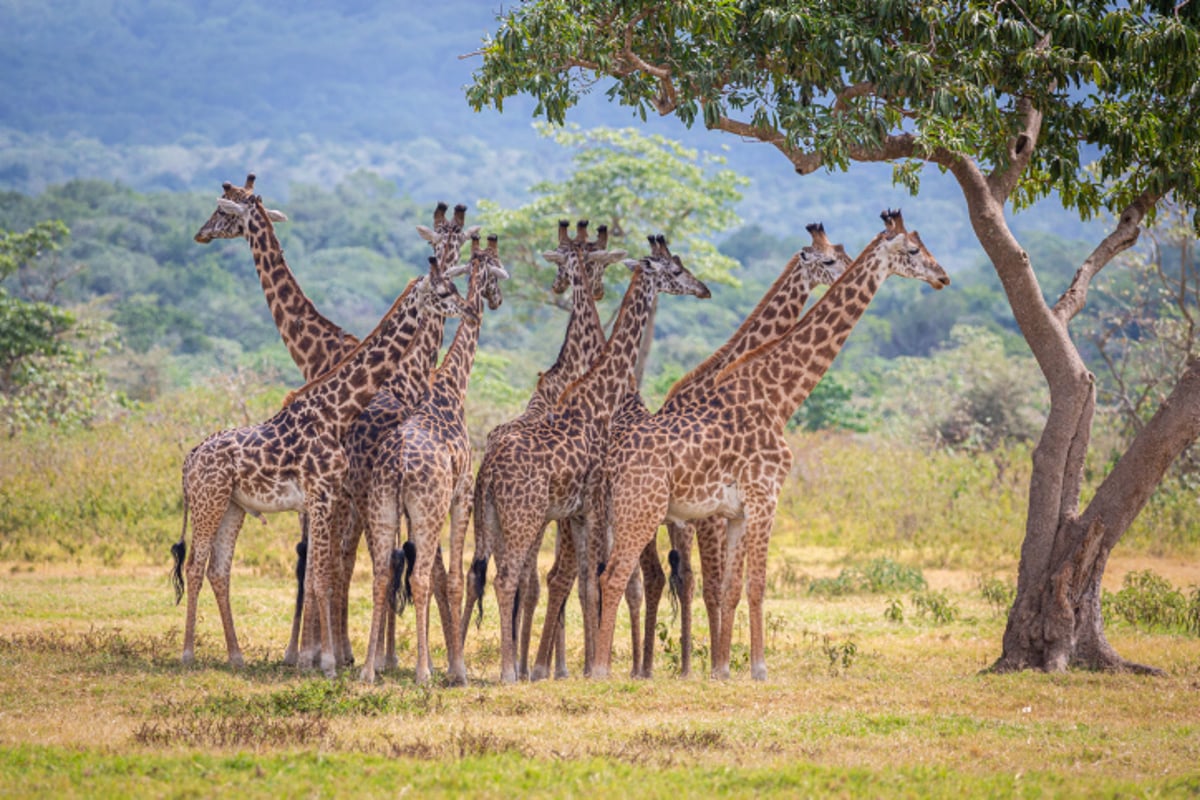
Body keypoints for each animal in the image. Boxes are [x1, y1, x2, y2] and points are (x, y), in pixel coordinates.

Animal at [355, 230, 506, 681]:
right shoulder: (461, 493)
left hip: (382, 506)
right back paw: (422, 672)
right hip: (428, 508)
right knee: (420, 577)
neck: (451, 387)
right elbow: (452, 579)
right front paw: (457, 669)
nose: (486, 304)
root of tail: (400, 465)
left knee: (380, 575)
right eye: (497, 268)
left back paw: (367, 671)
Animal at [472, 232, 705, 681]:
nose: (704, 289)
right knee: (508, 579)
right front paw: (596, 667)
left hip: (494, 518)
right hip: (525, 516)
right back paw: (511, 671)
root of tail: (487, 469)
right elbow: (595, 579)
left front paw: (587, 664)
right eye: (675, 268)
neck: (603, 398)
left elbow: (584, 580)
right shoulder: (595, 504)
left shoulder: (579, 512)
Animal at [590, 209, 945, 681]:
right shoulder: (763, 497)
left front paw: (722, 671)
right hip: (642, 510)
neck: (778, 398)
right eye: (912, 249)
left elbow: (732, 587)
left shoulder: (736, 511)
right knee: (616, 576)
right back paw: (602, 670)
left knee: (608, 576)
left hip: (617, 513)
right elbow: (754, 584)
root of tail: (611, 460)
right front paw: (757, 668)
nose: (942, 276)